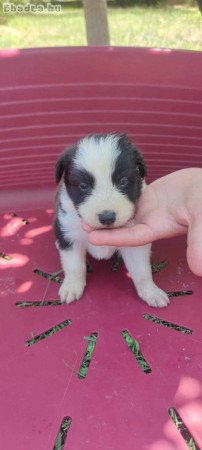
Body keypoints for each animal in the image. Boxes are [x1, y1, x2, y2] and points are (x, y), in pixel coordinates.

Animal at [53, 134, 169, 308]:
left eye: (123, 181)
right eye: (83, 186)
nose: (107, 217)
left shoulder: (135, 242)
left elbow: (141, 270)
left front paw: (150, 291)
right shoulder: (69, 234)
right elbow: (74, 266)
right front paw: (72, 286)